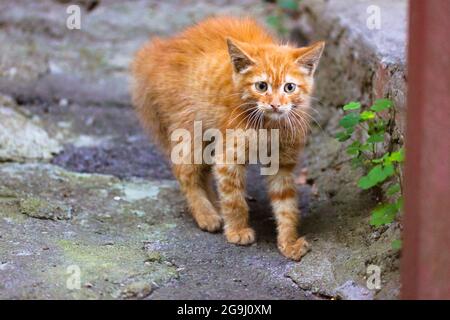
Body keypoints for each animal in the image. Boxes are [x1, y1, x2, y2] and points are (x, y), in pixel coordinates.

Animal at [130, 16, 324, 260]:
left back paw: (214, 205)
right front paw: (237, 230)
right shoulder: (229, 156)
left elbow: (286, 203)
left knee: (202, 172)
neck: (269, 125)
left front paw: (288, 242)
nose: (275, 104)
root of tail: (159, 51)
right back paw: (206, 214)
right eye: (261, 86)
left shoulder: (283, 163)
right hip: (190, 131)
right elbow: (234, 199)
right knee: (185, 172)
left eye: (290, 87)